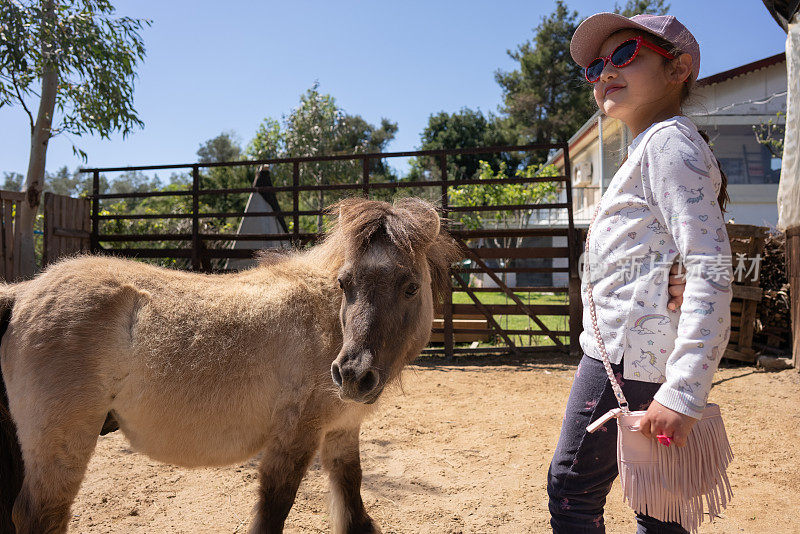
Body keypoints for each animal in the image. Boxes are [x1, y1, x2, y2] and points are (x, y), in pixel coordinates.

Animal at [0, 198, 460, 534]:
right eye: (345, 284)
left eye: (410, 287)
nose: (351, 375)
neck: (326, 323)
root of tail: (23, 293)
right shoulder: (294, 438)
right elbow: (273, 512)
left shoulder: (342, 432)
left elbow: (355, 507)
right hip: (62, 447)